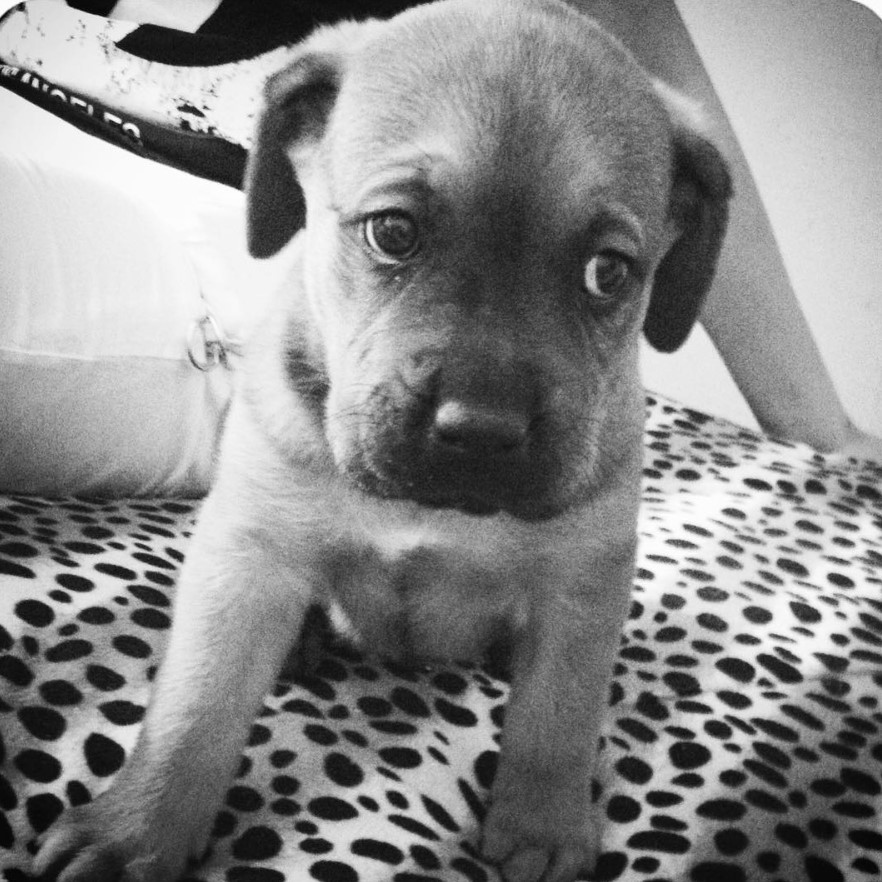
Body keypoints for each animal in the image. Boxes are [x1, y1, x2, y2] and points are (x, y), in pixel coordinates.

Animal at [32, 1, 728, 880]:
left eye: (610, 273)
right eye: (393, 232)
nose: (482, 434)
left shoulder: (582, 587)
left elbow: (558, 720)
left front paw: (542, 827)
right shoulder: (246, 555)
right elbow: (197, 706)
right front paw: (135, 830)